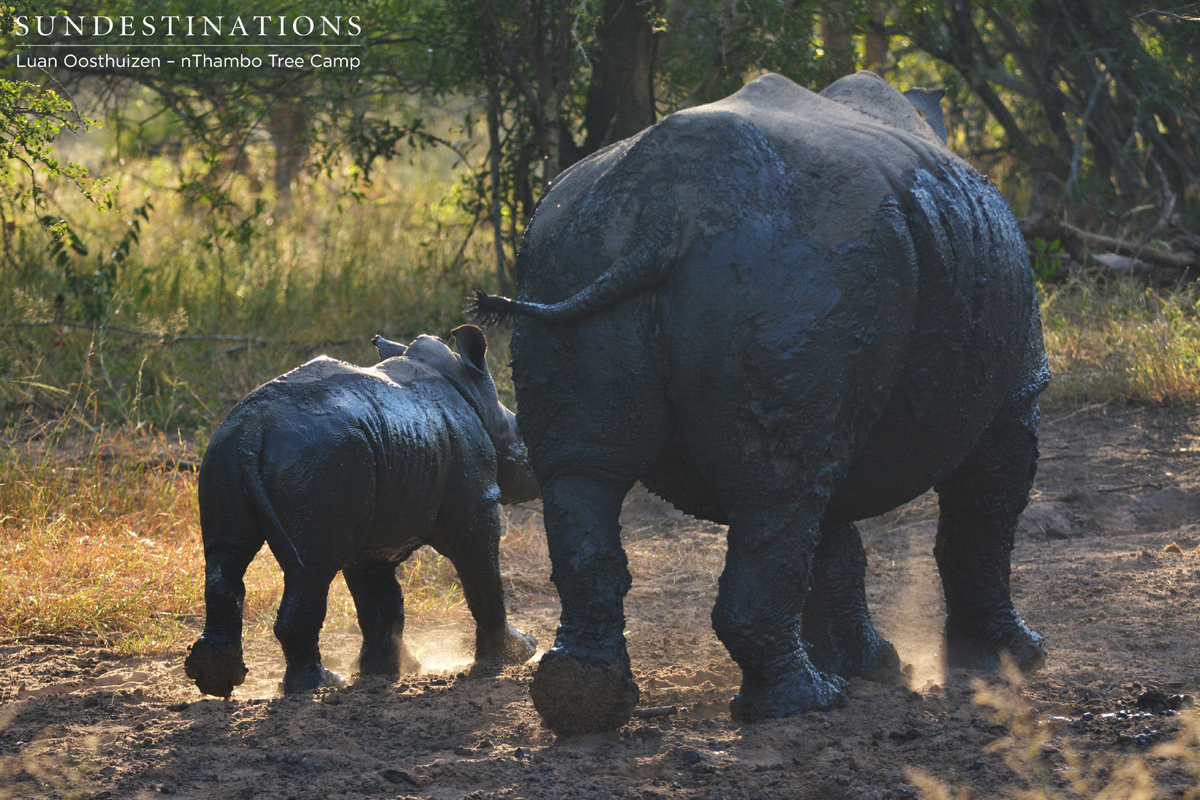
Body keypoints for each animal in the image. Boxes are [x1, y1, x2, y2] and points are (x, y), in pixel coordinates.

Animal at [185, 325, 539, 697]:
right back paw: (317, 685)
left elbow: (380, 598)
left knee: (227, 554)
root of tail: (254, 428)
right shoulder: (475, 505)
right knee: (310, 570)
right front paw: (513, 655)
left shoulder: (376, 526)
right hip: (319, 456)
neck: (475, 397)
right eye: (522, 433)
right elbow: (483, 576)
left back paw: (216, 681)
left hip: (226, 449)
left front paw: (386, 671)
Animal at [474, 71, 1049, 733]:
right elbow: (986, 517)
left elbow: (834, 539)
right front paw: (1014, 659)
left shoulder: (847, 371)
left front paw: (872, 665)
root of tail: (662, 210)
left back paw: (581, 701)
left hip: (574, 252)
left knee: (588, 473)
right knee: (778, 494)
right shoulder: (1016, 386)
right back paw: (804, 704)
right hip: (793, 275)